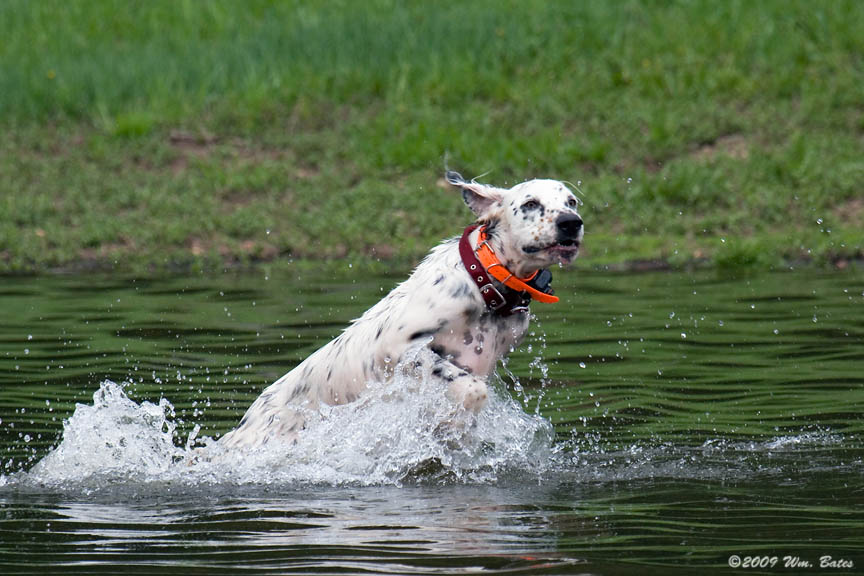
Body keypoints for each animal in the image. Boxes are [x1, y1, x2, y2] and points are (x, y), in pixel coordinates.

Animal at [219, 171, 584, 450]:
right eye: (531, 204)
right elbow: (471, 389)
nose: (572, 223)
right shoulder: (399, 350)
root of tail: (243, 426)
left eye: (572, 202)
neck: (483, 281)